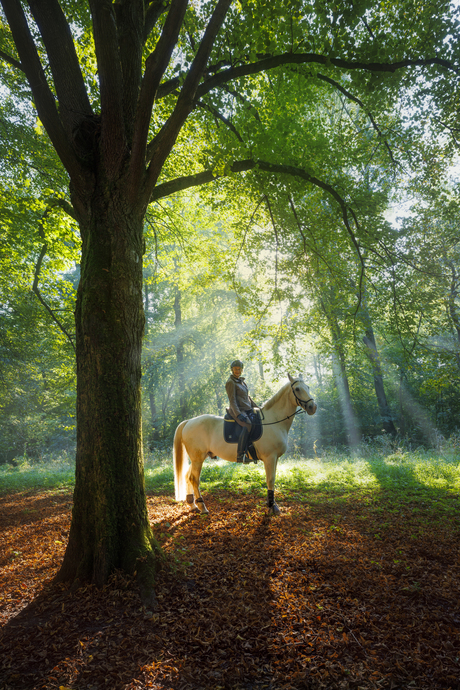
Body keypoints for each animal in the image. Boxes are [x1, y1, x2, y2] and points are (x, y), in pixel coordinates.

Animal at [172, 374, 316, 512]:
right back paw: (202, 507)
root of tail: (189, 421)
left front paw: (272, 504)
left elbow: (272, 480)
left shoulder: (275, 459)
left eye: (308, 387)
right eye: (297, 389)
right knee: (194, 479)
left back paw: (192, 505)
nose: (312, 407)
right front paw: (272, 507)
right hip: (198, 458)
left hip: (197, 458)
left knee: (188, 476)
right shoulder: (270, 457)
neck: (274, 420)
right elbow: (270, 480)